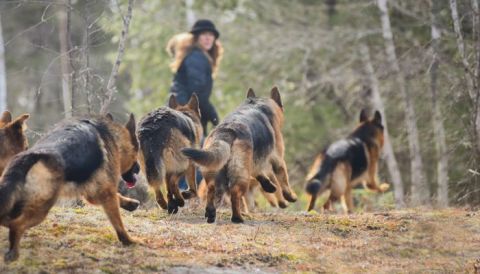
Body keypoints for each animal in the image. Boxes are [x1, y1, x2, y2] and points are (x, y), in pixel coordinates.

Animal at [0, 113, 142, 262]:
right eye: (137, 153)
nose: (139, 168)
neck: (114, 136)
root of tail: (30, 156)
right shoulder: (106, 192)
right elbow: (118, 223)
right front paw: (129, 241)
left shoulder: (95, 192)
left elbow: (113, 197)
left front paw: (130, 203)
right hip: (40, 209)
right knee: (16, 224)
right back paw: (14, 252)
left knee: (7, 220)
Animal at [183, 88, 298, 223]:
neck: (257, 103)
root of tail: (226, 132)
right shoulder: (278, 160)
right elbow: (284, 180)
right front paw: (290, 196)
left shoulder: (255, 161)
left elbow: (259, 174)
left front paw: (269, 186)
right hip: (241, 176)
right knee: (235, 194)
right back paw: (237, 218)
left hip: (214, 171)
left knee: (211, 190)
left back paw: (211, 214)